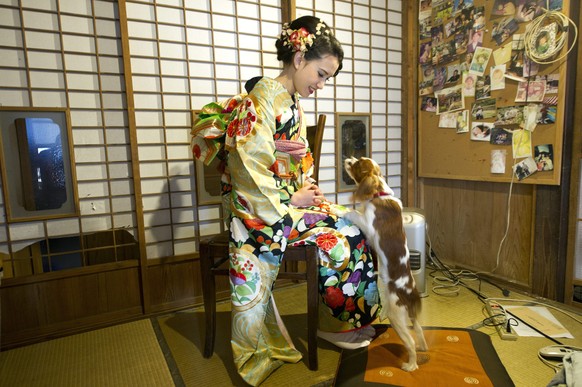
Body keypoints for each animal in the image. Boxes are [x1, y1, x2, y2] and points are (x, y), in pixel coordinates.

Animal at [338, 157, 428, 372]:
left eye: (357, 165)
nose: (348, 159)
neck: (379, 194)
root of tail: (411, 293)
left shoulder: (368, 224)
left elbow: (353, 212)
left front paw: (338, 208)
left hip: (396, 315)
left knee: (410, 341)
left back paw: (410, 365)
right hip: (409, 315)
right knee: (419, 330)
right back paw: (422, 347)